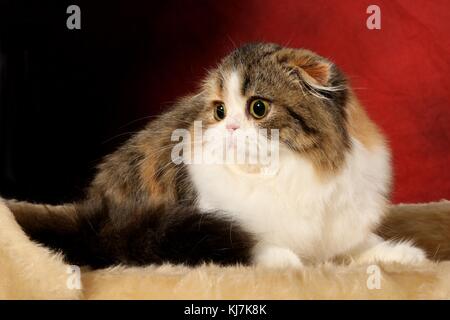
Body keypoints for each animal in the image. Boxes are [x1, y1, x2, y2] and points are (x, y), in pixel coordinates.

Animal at [3, 42, 428, 268]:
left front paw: (405, 255)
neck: (288, 176)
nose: (230, 128)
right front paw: (293, 264)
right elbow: (270, 250)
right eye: (221, 111)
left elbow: (361, 248)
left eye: (258, 108)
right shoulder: (221, 228)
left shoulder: (340, 227)